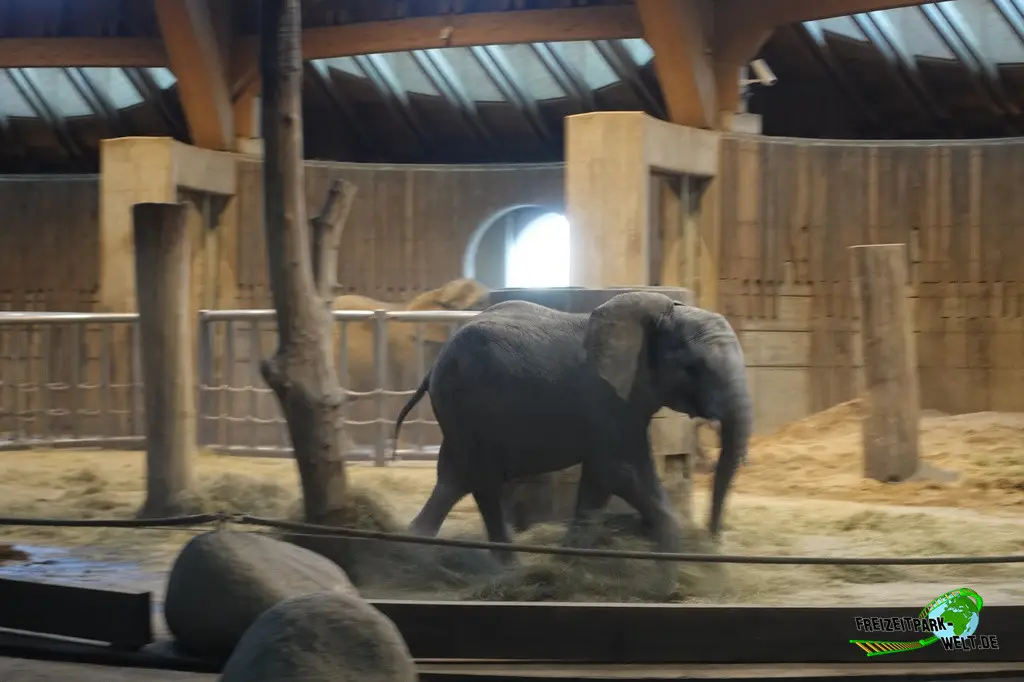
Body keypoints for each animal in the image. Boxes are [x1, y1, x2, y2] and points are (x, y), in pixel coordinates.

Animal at [392, 291, 753, 564]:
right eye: (692, 368)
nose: (712, 540)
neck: (659, 316)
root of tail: (433, 365)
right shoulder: (608, 400)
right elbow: (617, 471)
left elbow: (613, 475)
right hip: (467, 406)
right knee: (484, 482)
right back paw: (509, 568)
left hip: (460, 415)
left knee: (454, 478)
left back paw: (415, 549)